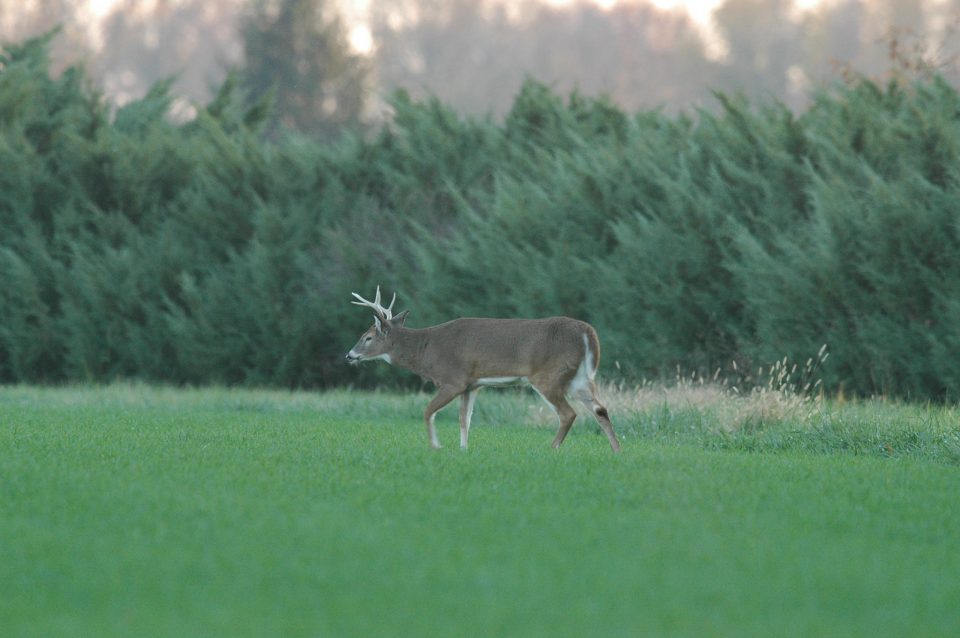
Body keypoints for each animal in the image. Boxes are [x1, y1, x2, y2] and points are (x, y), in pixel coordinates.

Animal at [344, 288, 624, 452]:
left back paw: (551, 449)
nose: (349, 355)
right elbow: (464, 419)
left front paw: (436, 446)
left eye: (367, 337)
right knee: (600, 409)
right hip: (580, 376)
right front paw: (463, 450)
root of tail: (587, 332)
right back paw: (617, 450)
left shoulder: (453, 379)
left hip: (548, 375)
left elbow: (428, 411)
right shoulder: (472, 383)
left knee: (568, 414)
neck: (427, 351)